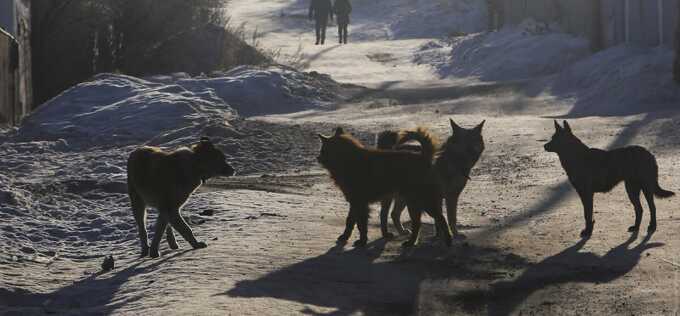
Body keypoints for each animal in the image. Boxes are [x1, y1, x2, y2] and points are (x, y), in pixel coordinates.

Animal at [318, 126, 452, 247]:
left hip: (421, 200)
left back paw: (445, 241)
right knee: (422, 222)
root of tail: (423, 157)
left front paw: (362, 241)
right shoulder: (355, 202)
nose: (318, 158)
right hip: (412, 201)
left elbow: (361, 224)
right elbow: (350, 221)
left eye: (323, 150)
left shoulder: (360, 203)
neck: (348, 159)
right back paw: (416, 242)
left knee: (438, 219)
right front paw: (345, 236)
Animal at [544, 121, 672, 237]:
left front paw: (588, 231)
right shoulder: (584, 194)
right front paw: (589, 229)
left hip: (645, 187)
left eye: (556, 139)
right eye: (552, 138)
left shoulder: (587, 193)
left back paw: (652, 226)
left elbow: (587, 214)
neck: (577, 156)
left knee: (652, 207)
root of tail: (649, 154)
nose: (544, 146)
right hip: (631, 189)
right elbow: (587, 214)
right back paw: (636, 227)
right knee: (639, 209)